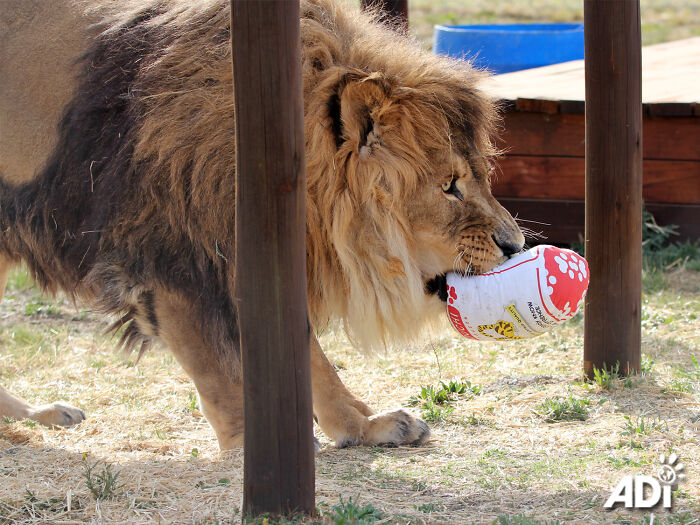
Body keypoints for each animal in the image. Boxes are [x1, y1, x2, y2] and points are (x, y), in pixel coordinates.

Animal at [0, 0, 524, 449]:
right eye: (449, 186)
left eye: (480, 174)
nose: (515, 245)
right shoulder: (170, 263)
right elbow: (217, 371)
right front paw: (247, 447)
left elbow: (311, 358)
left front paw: (362, 426)